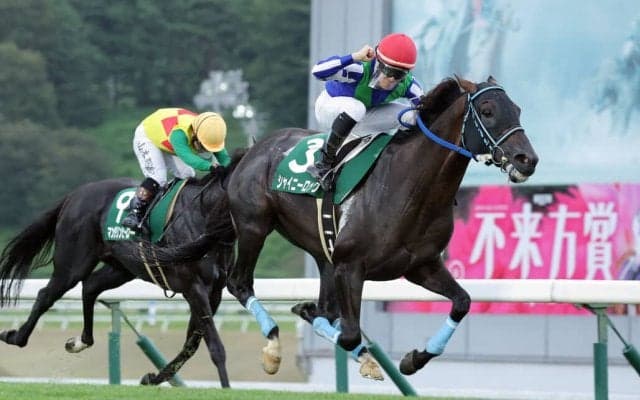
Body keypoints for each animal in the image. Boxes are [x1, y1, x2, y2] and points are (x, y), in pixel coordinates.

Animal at [0, 149, 245, 387]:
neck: (203, 215)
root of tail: (75, 195)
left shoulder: (213, 292)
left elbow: (191, 344)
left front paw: (153, 378)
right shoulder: (193, 287)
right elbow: (214, 345)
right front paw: (225, 386)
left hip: (122, 267)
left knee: (90, 286)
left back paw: (80, 341)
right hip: (73, 262)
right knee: (47, 294)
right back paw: (15, 336)